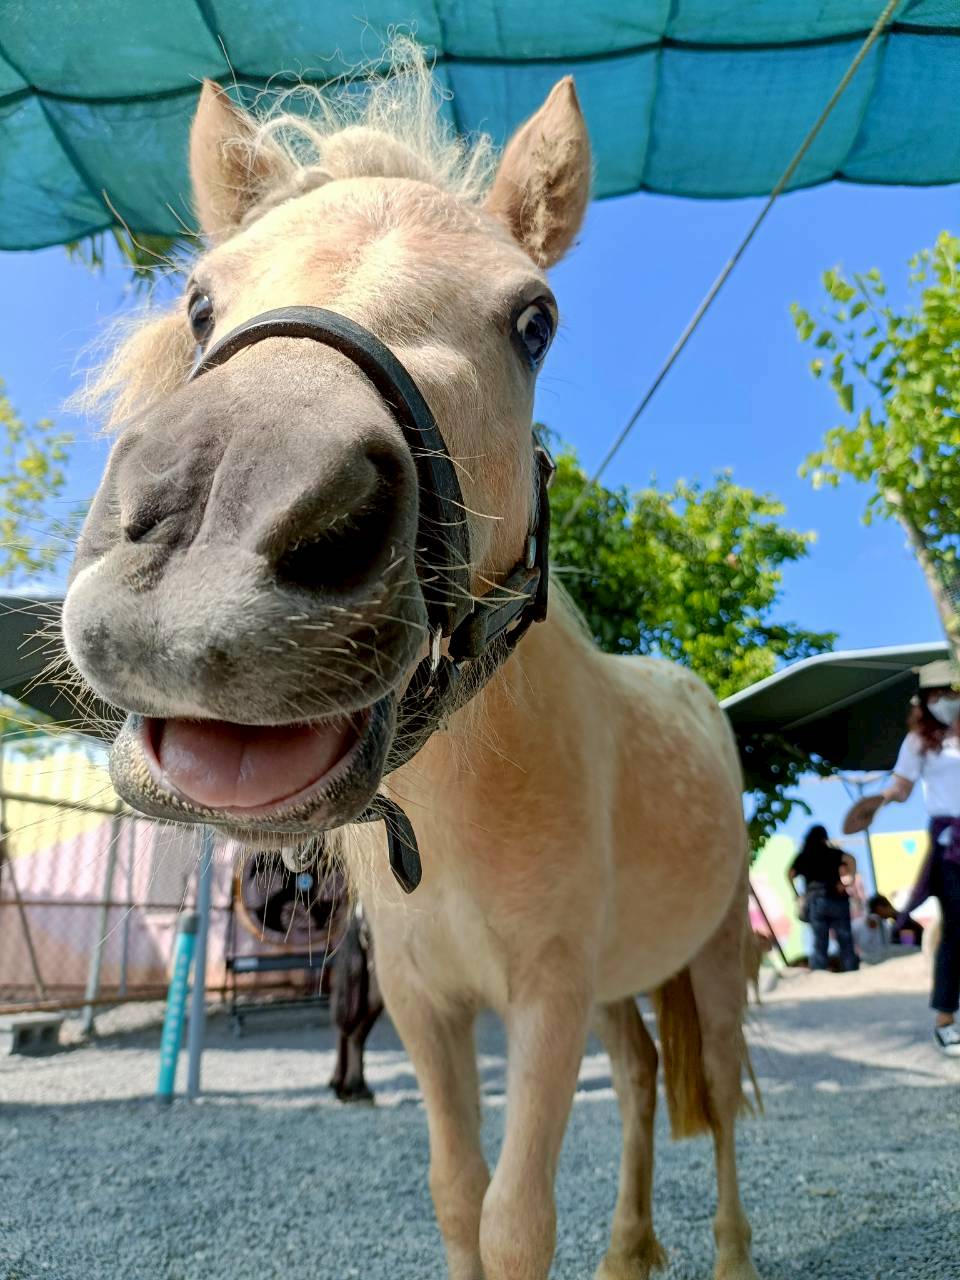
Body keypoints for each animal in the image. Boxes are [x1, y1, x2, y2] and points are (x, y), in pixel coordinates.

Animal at [61, 48, 760, 1280]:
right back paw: (630, 1249)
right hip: (623, 983)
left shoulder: (547, 996)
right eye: (199, 301)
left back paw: (728, 1254)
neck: (468, 810)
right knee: (639, 1080)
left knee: (716, 1092)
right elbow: (456, 1194)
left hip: (712, 954)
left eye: (535, 320)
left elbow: (515, 1218)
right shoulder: (428, 1006)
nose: (212, 540)